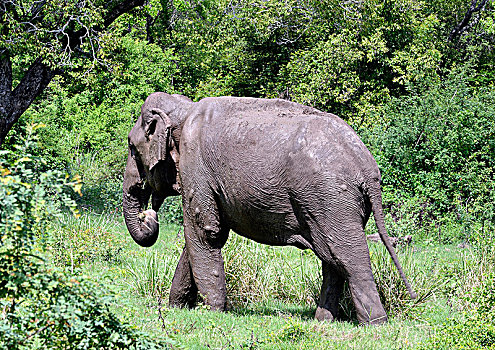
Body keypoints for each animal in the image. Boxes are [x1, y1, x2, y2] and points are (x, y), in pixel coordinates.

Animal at [122, 91, 416, 324]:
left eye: (132, 148)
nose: (148, 214)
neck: (183, 109)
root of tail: (368, 168)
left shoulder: (196, 165)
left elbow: (205, 232)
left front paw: (212, 313)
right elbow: (200, 235)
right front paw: (177, 307)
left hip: (331, 196)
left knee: (347, 255)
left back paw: (375, 324)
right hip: (333, 202)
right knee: (331, 257)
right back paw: (323, 321)